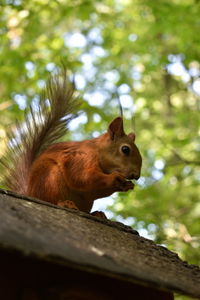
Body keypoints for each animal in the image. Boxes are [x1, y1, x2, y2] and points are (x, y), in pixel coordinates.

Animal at [1, 70, 142, 216]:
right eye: (125, 149)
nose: (136, 176)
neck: (98, 152)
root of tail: (30, 192)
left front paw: (127, 185)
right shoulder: (80, 158)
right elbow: (83, 177)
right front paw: (115, 178)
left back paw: (97, 214)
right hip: (49, 178)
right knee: (50, 198)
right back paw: (65, 203)